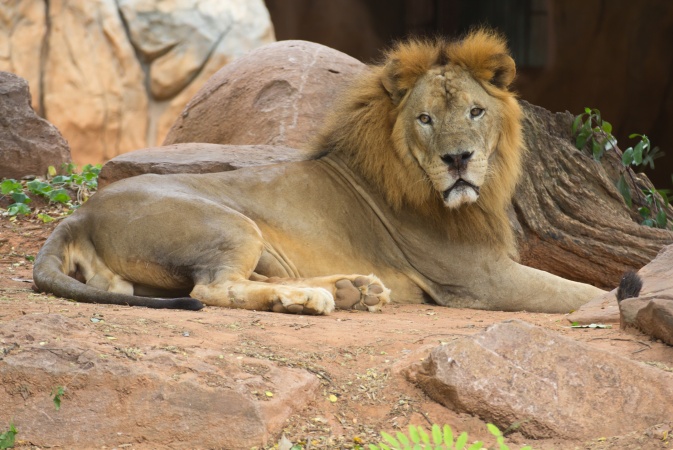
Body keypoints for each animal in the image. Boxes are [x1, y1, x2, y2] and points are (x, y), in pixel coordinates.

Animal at [33, 30, 605, 314]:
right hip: (231, 224)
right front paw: (614, 299)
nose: (458, 159)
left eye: (476, 112)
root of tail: (79, 215)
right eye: (425, 119)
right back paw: (313, 298)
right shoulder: (478, 277)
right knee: (214, 289)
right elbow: (581, 292)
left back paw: (354, 288)